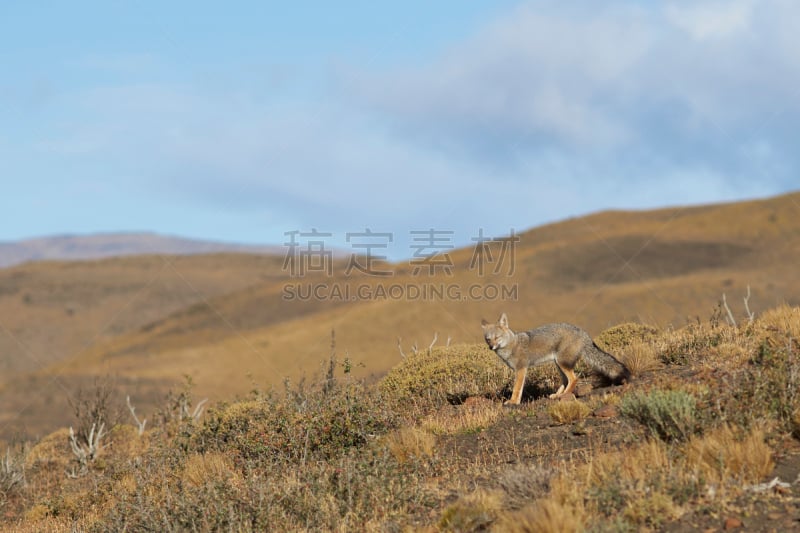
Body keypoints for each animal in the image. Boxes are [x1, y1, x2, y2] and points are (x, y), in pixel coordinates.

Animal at [482, 312, 632, 404]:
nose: (491, 347)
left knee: (574, 379)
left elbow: (517, 388)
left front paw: (513, 402)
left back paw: (563, 395)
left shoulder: (521, 369)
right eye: (488, 339)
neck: (511, 344)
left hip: (562, 363)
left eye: (497, 338)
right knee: (566, 380)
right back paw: (557, 395)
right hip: (558, 364)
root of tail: (583, 333)